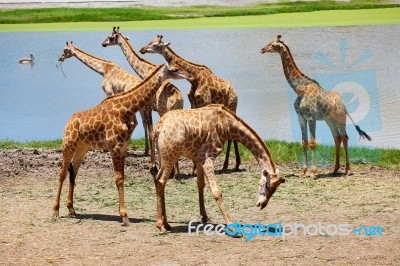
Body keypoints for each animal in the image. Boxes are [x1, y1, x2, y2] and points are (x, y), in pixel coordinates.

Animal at [51, 62, 192, 227]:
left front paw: (123, 214)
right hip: (69, 143)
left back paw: (72, 209)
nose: (189, 76)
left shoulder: (124, 146)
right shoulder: (115, 146)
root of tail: (69, 121)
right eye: (174, 69)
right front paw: (124, 217)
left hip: (82, 147)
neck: (125, 108)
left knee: (73, 172)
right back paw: (55, 211)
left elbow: (122, 178)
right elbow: (118, 179)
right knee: (62, 172)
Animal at [101, 27, 184, 164]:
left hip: (164, 111)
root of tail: (178, 99)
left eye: (110, 37)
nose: (103, 44)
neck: (145, 71)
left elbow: (151, 131)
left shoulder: (148, 107)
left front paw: (152, 161)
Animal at [141, 34, 241, 172]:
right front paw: (193, 168)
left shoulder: (204, 102)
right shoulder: (194, 103)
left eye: (155, 44)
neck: (194, 78)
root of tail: (235, 91)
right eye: (150, 41)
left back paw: (230, 165)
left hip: (232, 106)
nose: (142, 49)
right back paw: (233, 164)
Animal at [150, 104, 284, 233]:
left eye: (274, 190)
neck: (227, 126)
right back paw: (160, 226)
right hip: (170, 155)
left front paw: (204, 217)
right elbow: (216, 192)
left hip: (163, 155)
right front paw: (232, 227)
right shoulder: (207, 156)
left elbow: (200, 184)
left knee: (160, 181)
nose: (262, 204)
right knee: (160, 181)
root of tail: (157, 128)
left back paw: (166, 224)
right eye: (264, 185)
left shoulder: (198, 157)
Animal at [260, 34, 372, 178]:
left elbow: (313, 143)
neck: (300, 90)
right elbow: (304, 143)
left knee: (345, 137)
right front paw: (303, 171)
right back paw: (335, 169)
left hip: (340, 118)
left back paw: (347, 169)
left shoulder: (311, 117)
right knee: (337, 138)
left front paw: (313, 172)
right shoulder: (301, 118)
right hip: (330, 120)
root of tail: (344, 104)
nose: (262, 49)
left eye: (273, 45)